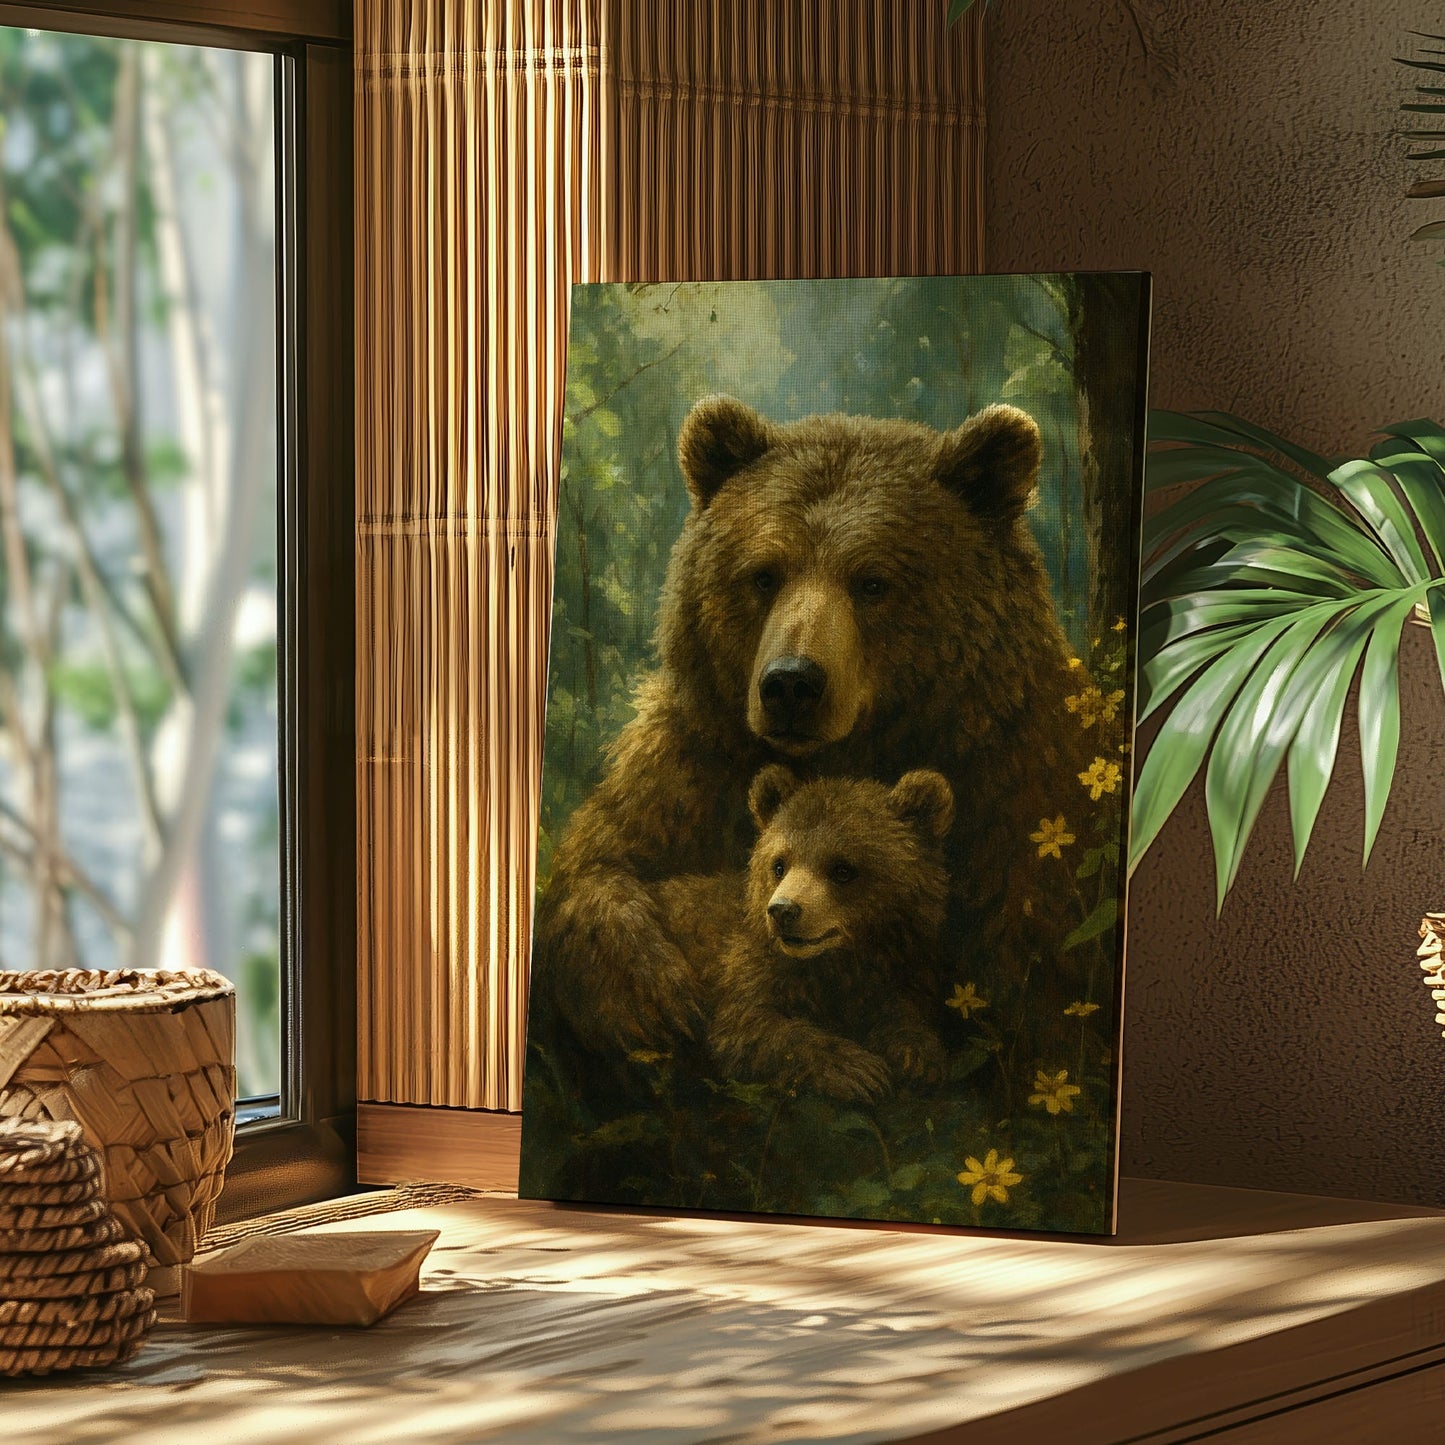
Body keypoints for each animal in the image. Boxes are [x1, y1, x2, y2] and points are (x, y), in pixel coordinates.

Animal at [530, 394, 1095, 1065]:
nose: (791, 684)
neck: (859, 749)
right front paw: (653, 996)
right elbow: (600, 862)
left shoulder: (1016, 784)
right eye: (764, 574)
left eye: (873, 581)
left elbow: (1033, 964)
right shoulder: (695, 760)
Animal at [700, 764, 955, 1103]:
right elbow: (749, 1025)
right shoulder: (747, 970)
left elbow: (899, 1009)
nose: (783, 910)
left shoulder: (899, 970)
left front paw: (916, 1055)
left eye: (842, 869)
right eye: (779, 864)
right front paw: (858, 1070)